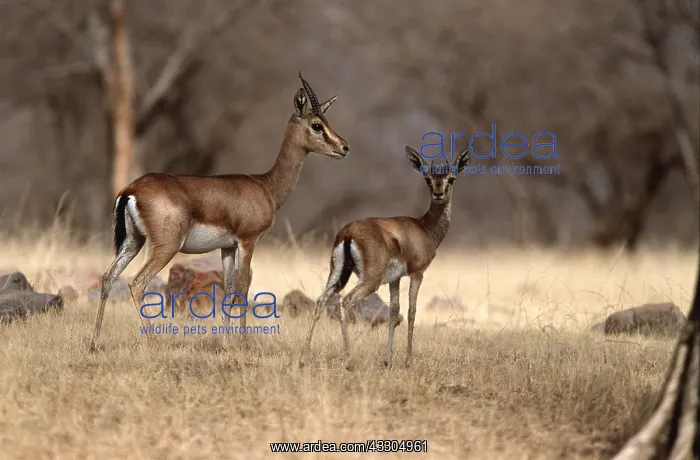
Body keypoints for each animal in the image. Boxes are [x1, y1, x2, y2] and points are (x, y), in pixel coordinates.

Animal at [89, 73, 350, 351]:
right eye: (317, 125)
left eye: (327, 121)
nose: (344, 147)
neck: (265, 186)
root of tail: (130, 190)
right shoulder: (248, 241)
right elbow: (243, 289)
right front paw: (243, 343)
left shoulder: (228, 247)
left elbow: (228, 290)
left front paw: (224, 343)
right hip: (165, 247)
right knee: (137, 283)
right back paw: (153, 342)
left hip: (133, 242)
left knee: (108, 277)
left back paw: (94, 342)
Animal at [299, 145, 471, 369]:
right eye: (428, 178)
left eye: (451, 178)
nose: (438, 193)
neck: (425, 228)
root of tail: (347, 233)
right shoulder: (417, 273)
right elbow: (411, 311)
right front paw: (407, 361)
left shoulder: (394, 279)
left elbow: (394, 311)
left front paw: (387, 359)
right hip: (370, 280)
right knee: (345, 301)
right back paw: (349, 360)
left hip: (338, 275)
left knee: (321, 301)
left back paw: (303, 359)